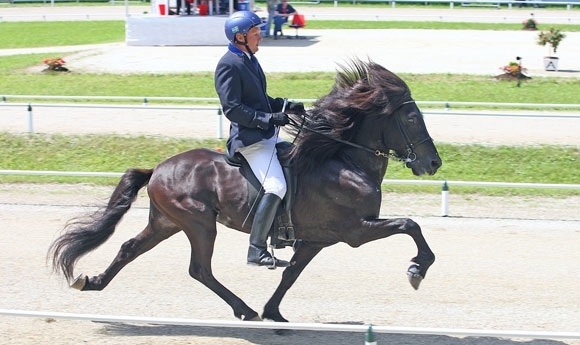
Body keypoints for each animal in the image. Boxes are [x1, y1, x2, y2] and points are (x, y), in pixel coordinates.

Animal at [48, 58, 440, 322]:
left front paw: (274, 311)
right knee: (199, 270)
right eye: (411, 117)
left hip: (167, 222)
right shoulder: (355, 230)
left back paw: (92, 282)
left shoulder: (316, 239)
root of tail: (158, 168)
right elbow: (410, 225)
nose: (433, 163)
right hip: (198, 223)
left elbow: (290, 274)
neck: (342, 160)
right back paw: (245, 308)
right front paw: (417, 269)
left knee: (130, 248)